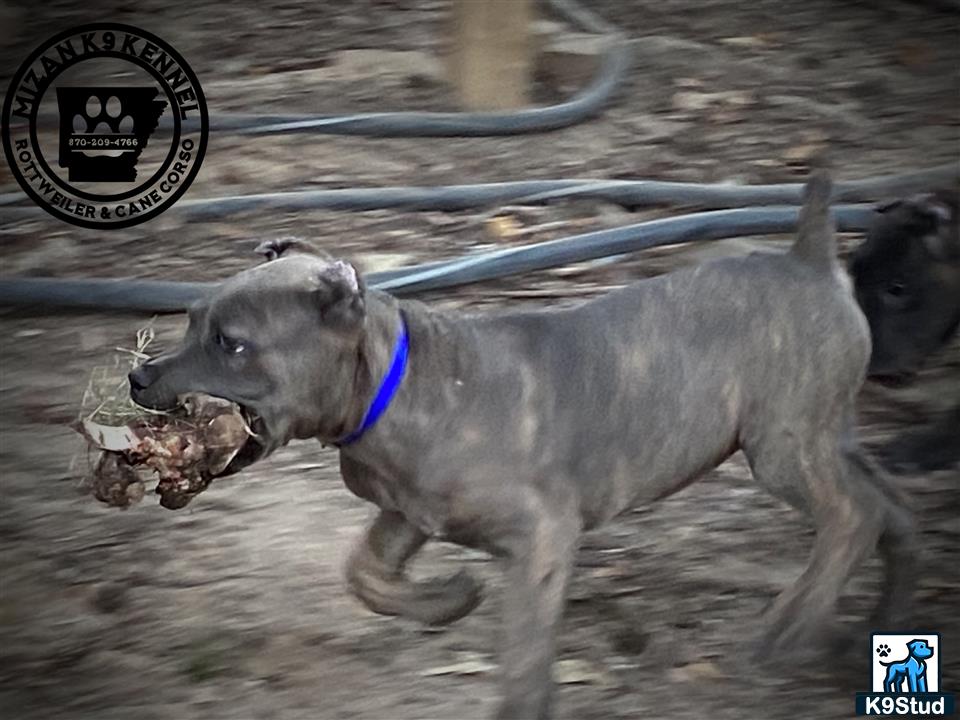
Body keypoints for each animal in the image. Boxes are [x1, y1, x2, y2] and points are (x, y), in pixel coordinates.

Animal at [129, 174, 916, 720]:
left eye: (232, 344)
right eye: (190, 320)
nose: (138, 377)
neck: (394, 385)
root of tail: (810, 259)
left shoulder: (542, 538)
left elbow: (524, 652)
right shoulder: (408, 514)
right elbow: (363, 573)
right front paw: (448, 599)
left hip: (783, 446)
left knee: (852, 516)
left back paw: (789, 628)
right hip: (824, 432)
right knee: (885, 503)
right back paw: (878, 623)